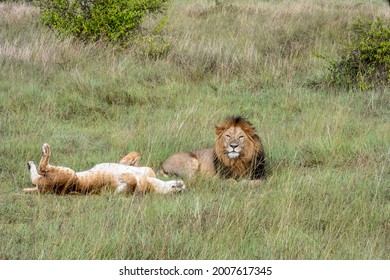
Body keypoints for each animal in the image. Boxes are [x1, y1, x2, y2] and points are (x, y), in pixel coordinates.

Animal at [24, 142, 186, 195]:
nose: (182, 186)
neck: (155, 183)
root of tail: (41, 189)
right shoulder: (147, 170)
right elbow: (129, 160)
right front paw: (133, 157)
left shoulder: (123, 192)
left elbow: (131, 184)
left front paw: (125, 177)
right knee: (35, 177)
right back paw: (30, 163)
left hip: (70, 176)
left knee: (43, 169)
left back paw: (45, 150)